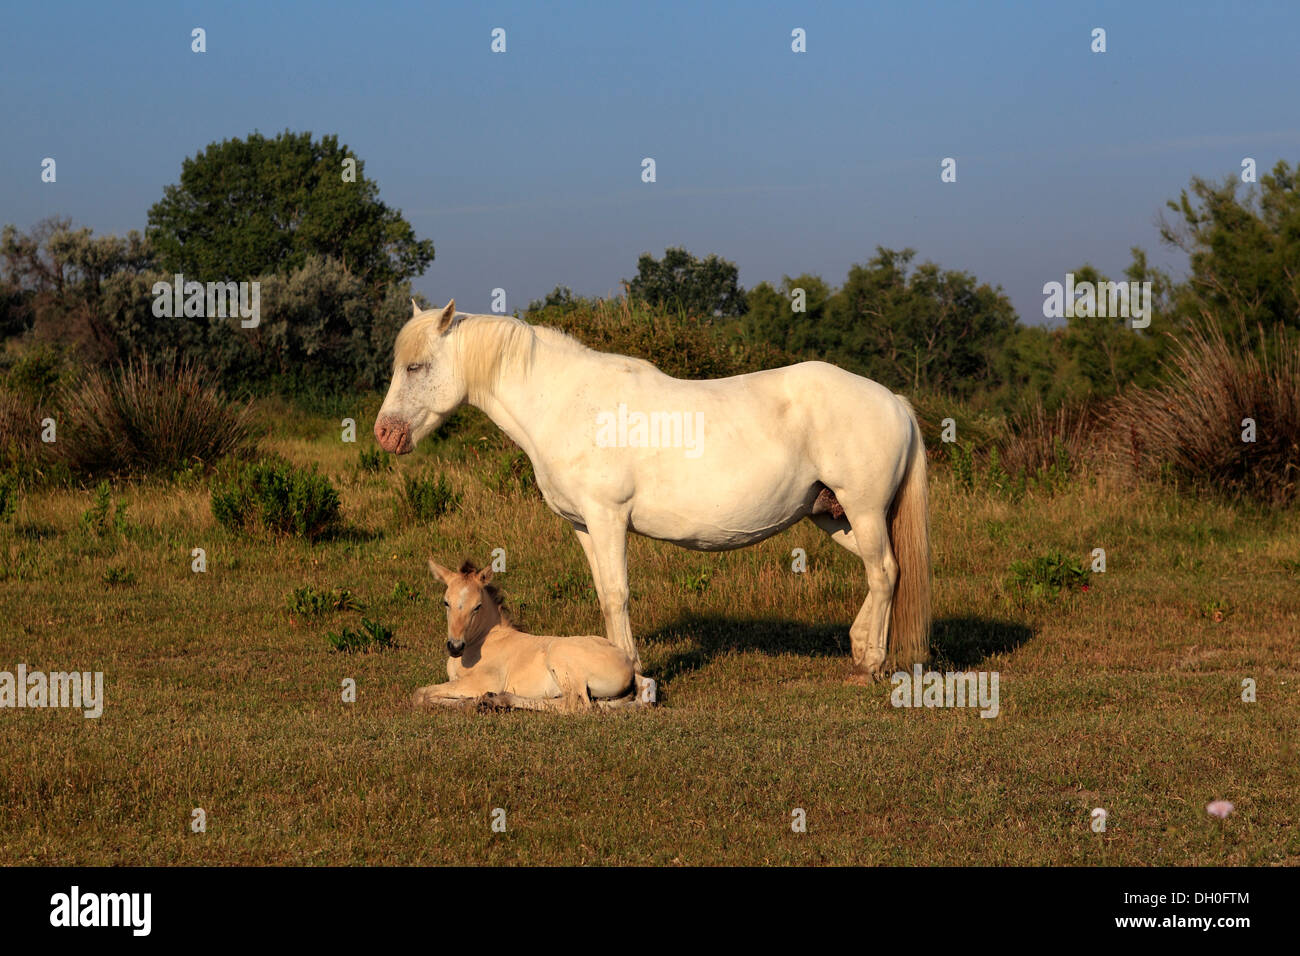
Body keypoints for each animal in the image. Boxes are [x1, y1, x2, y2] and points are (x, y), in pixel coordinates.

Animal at [371, 299, 930, 681]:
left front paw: (631, 670)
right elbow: (604, 594)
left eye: (416, 366)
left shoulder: (608, 518)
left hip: (863, 509)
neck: (567, 403)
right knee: (881, 572)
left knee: (884, 572)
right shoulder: (584, 526)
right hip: (833, 515)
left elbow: (618, 593)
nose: (384, 433)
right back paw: (860, 647)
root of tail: (895, 401)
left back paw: (870, 664)